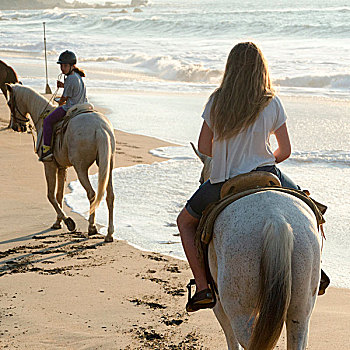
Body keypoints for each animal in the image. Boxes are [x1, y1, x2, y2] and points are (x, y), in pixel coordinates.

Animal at [5, 84, 115, 242]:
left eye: (9, 103)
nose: (16, 127)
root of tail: (100, 128)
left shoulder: (49, 165)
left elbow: (50, 195)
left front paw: (68, 222)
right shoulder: (62, 167)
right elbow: (59, 195)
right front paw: (58, 222)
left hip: (81, 168)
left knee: (92, 194)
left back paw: (92, 227)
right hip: (107, 166)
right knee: (110, 196)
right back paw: (109, 234)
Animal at [193, 146, 322, 348]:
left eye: (200, 180)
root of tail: (276, 219)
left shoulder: (219, 305)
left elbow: (230, 338)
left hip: (240, 310)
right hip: (301, 307)